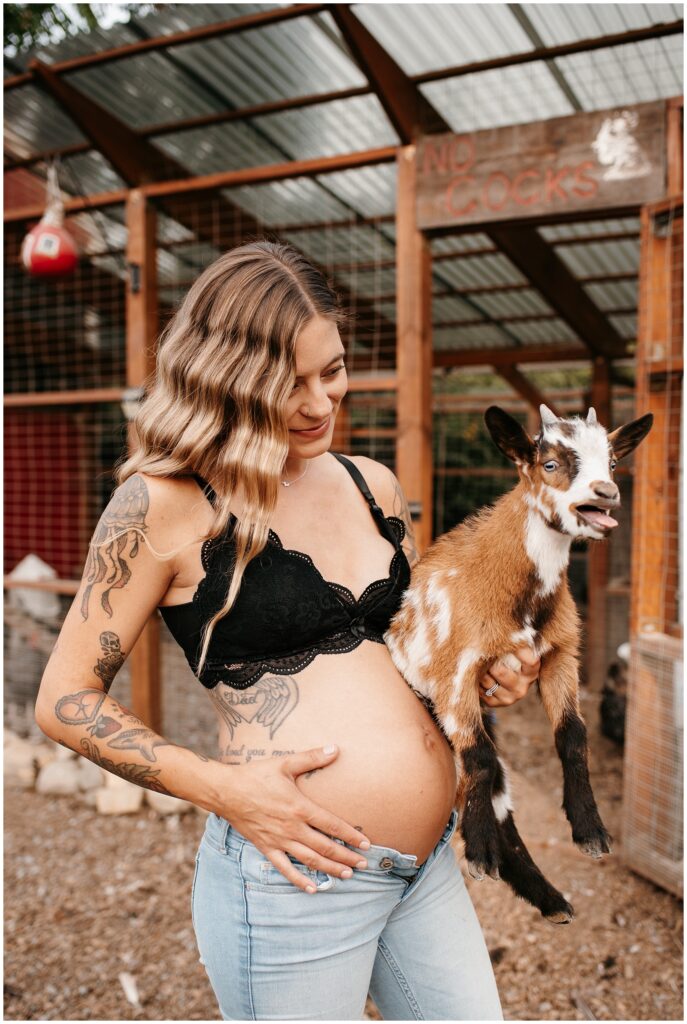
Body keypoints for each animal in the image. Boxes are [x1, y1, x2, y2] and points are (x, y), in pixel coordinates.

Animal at [387, 403, 655, 925]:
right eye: (549, 463)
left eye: (613, 462)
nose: (607, 493)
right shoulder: (454, 671)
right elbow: (478, 756)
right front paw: (478, 853)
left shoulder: (559, 654)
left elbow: (573, 735)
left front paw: (591, 830)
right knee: (486, 773)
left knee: (500, 794)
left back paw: (551, 901)